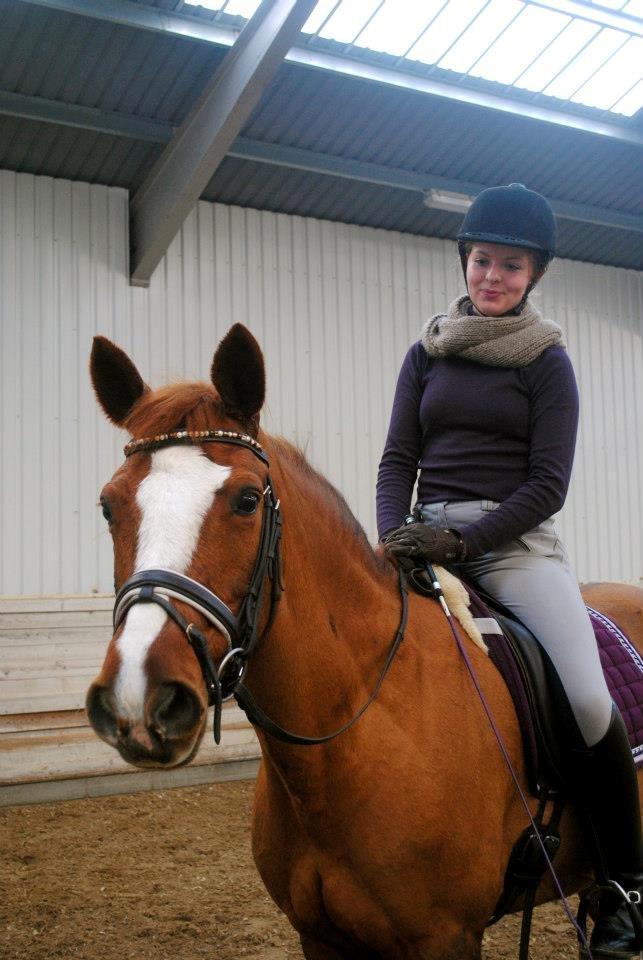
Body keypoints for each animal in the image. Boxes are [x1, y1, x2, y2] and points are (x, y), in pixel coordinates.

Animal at [86, 323, 643, 960]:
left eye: (248, 500)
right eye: (108, 506)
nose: (139, 697)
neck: (357, 725)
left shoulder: (447, 938)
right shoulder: (319, 937)